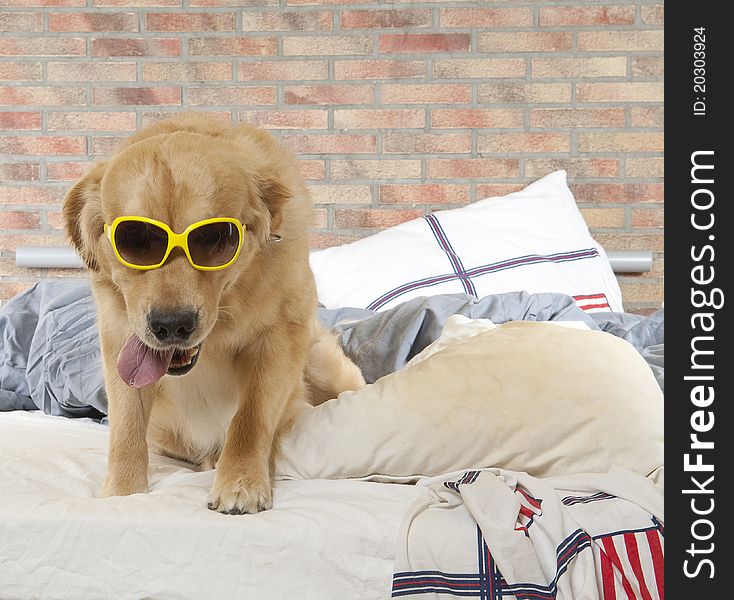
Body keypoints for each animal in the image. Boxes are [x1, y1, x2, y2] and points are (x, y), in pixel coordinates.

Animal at [65, 113, 368, 516]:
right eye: (134, 239)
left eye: (215, 238)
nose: (171, 325)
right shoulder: (118, 341)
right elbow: (126, 428)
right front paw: (122, 494)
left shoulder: (281, 336)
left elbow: (250, 417)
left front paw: (240, 481)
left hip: (322, 363)